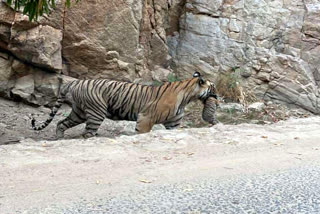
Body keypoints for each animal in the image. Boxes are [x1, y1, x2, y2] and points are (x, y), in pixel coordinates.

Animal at [31, 72, 218, 139]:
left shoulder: (173, 123)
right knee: (86, 133)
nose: (218, 97)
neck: (187, 97)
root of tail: (74, 83)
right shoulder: (145, 118)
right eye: (213, 88)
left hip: (79, 113)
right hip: (96, 112)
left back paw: (59, 138)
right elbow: (141, 133)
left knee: (61, 123)